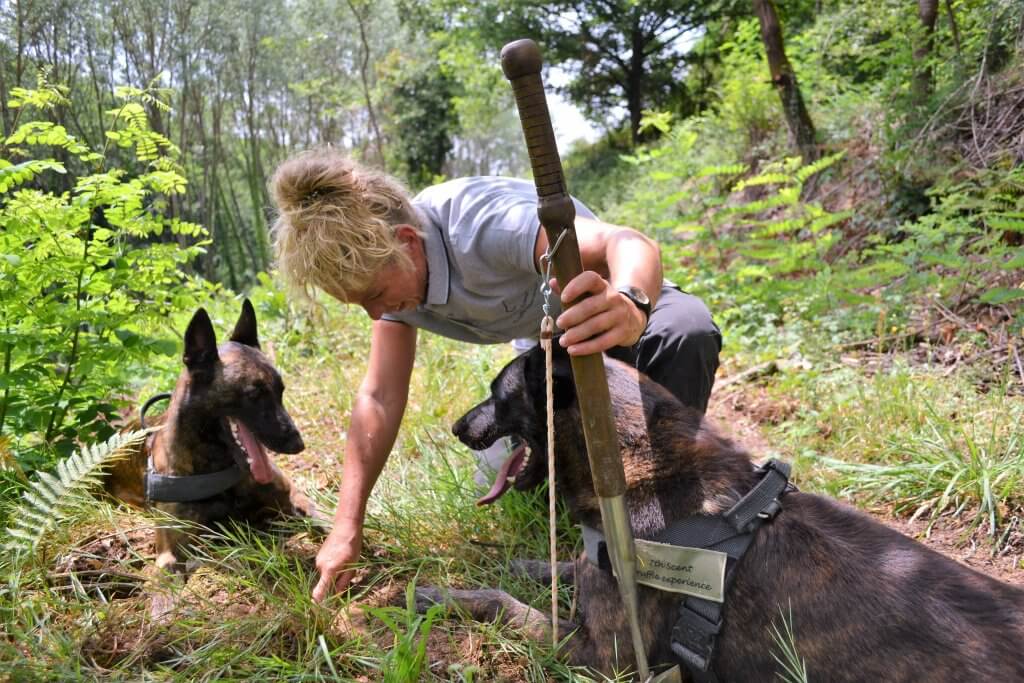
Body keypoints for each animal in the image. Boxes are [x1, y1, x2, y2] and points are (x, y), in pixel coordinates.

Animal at [419, 344, 1024, 683]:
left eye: (497, 393)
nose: (455, 427)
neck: (637, 458)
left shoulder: (605, 656)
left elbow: (505, 605)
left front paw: (437, 595)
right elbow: (555, 566)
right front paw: (512, 564)